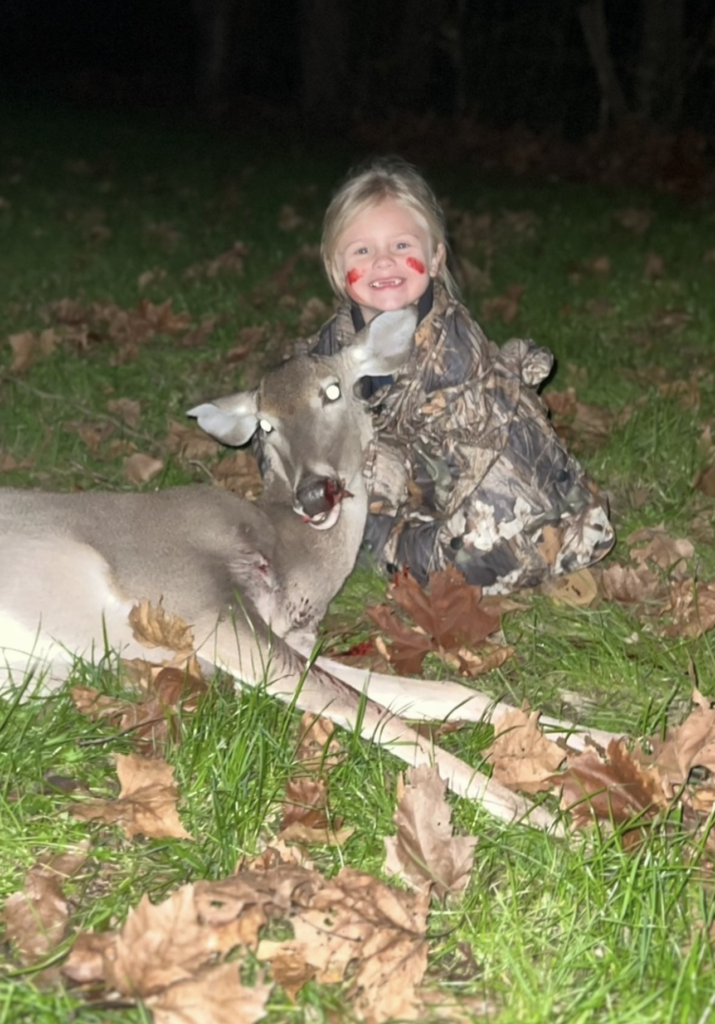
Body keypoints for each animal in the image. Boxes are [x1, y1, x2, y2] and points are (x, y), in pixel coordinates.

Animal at [0, 309, 616, 832]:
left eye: (333, 390)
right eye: (266, 425)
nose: (314, 493)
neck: (286, 551)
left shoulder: (285, 634)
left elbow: (438, 690)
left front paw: (602, 734)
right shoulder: (197, 603)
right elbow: (376, 716)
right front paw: (553, 821)